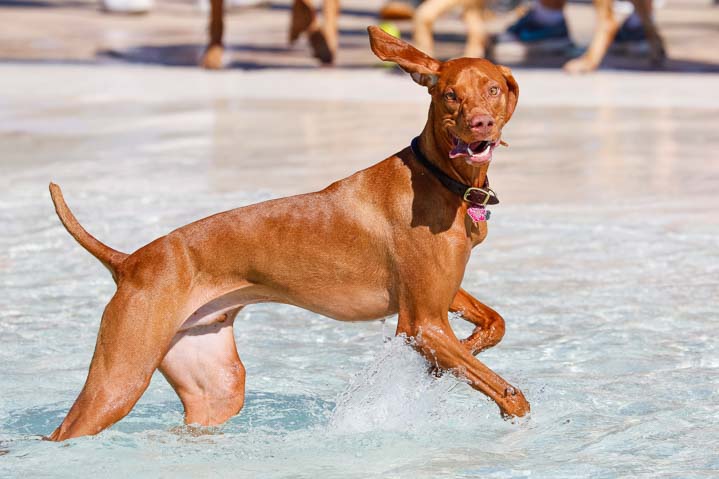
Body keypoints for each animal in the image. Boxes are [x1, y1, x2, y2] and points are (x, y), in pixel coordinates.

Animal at [46, 26, 528, 442]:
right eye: (450, 95)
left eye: (493, 89)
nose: (481, 124)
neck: (439, 177)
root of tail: (129, 261)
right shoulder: (422, 322)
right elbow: (512, 396)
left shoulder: (440, 298)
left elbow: (495, 326)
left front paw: (451, 360)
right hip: (118, 381)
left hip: (215, 386)